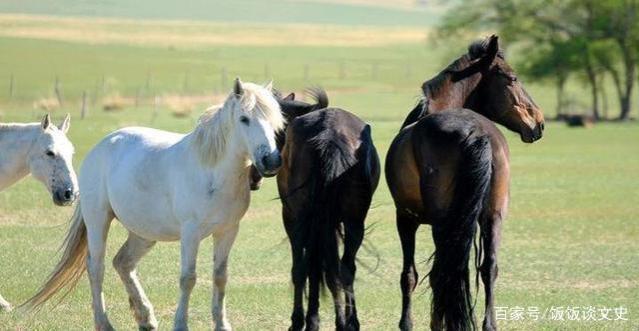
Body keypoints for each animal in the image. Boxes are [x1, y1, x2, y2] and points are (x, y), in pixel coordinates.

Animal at [24, 80, 284, 331]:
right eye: (244, 119)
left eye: (275, 121)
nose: (271, 160)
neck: (212, 171)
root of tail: (102, 145)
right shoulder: (191, 233)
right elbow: (188, 278)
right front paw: (180, 324)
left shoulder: (227, 231)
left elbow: (220, 277)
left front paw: (222, 325)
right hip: (98, 220)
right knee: (96, 267)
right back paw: (104, 323)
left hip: (144, 233)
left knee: (123, 262)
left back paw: (145, 318)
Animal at [274, 89, 380, 330]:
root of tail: (329, 133)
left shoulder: (292, 219)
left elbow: (301, 269)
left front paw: (300, 320)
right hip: (353, 221)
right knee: (344, 268)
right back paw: (349, 322)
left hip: (305, 219)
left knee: (312, 267)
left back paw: (314, 320)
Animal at [384, 35, 544, 330]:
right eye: (513, 78)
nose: (539, 122)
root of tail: (476, 132)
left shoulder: (406, 218)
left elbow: (410, 275)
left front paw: (407, 323)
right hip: (492, 216)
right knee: (488, 267)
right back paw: (487, 324)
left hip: (442, 222)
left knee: (444, 271)